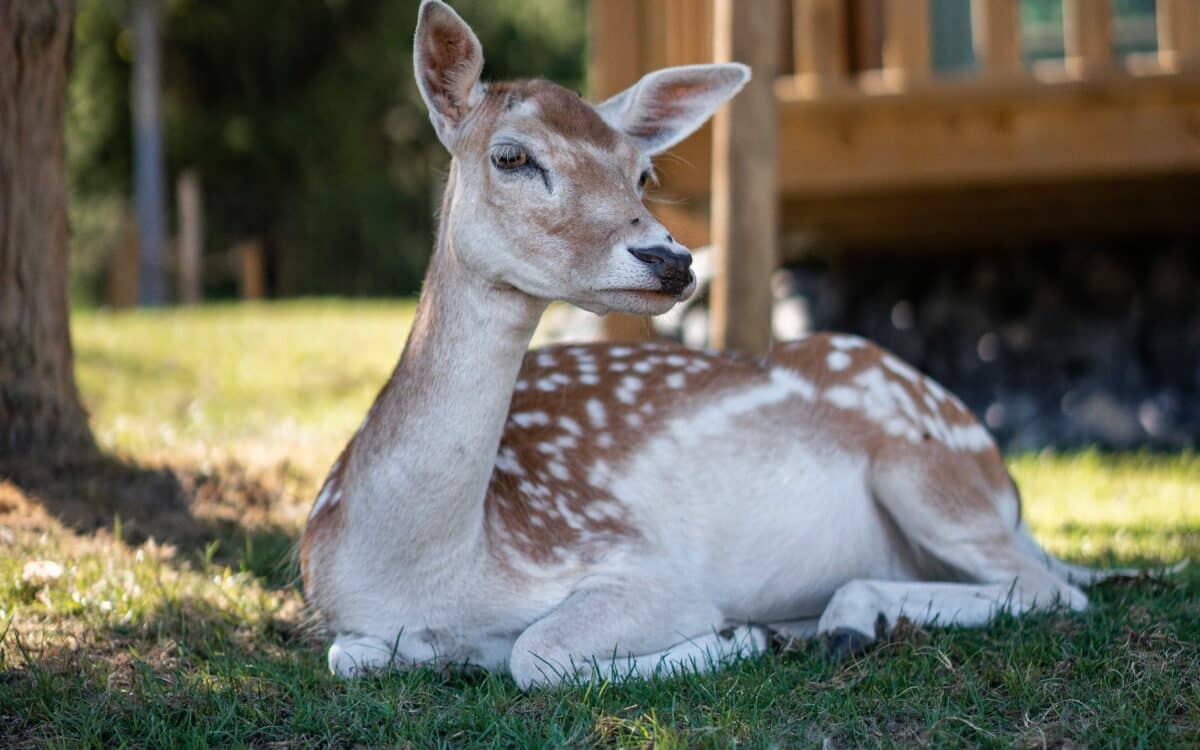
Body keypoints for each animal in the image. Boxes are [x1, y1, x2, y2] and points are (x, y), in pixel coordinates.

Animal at [299, 0, 1149, 689]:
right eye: (510, 155)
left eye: (643, 172)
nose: (670, 258)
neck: (434, 568)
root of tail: (1007, 485)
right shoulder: (343, 619)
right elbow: (350, 655)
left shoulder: (641, 561)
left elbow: (535, 655)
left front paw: (734, 639)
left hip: (927, 468)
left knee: (1052, 588)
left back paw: (840, 620)